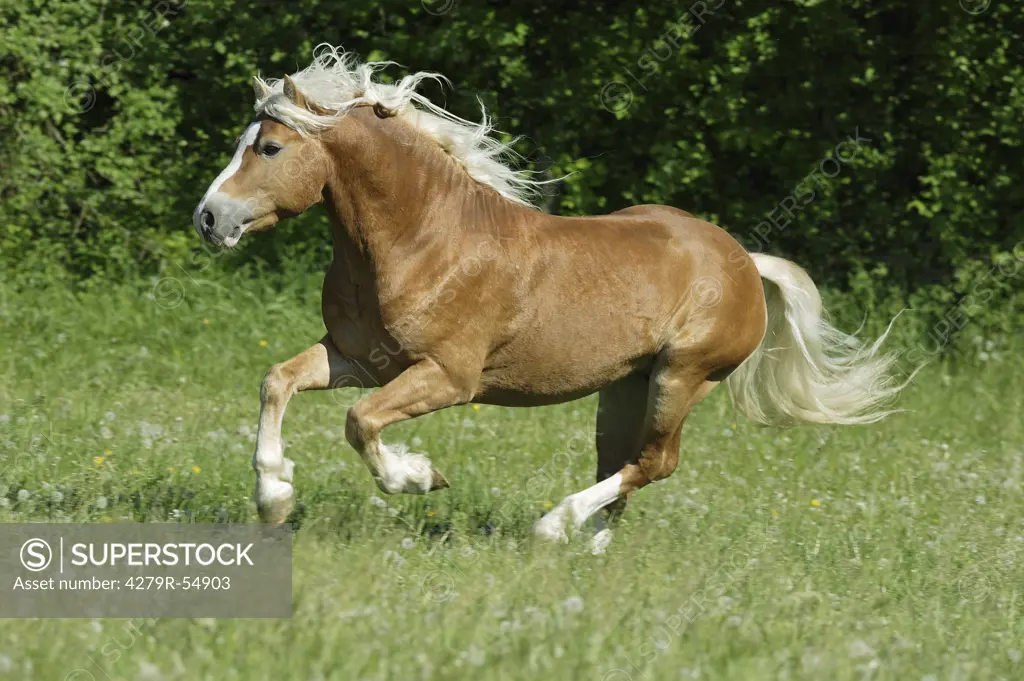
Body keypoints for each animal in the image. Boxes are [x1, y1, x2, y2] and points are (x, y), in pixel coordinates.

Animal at [190, 46, 905, 548]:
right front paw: (274, 498)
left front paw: (418, 477)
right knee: (624, 465)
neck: (423, 239)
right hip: (626, 387)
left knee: (655, 462)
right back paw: (589, 548)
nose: (207, 219)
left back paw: (552, 528)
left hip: (683, 377)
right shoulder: (358, 358)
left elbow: (359, 421)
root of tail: (743, 262)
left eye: (270, 147)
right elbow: (276, 381)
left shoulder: (448, 377)